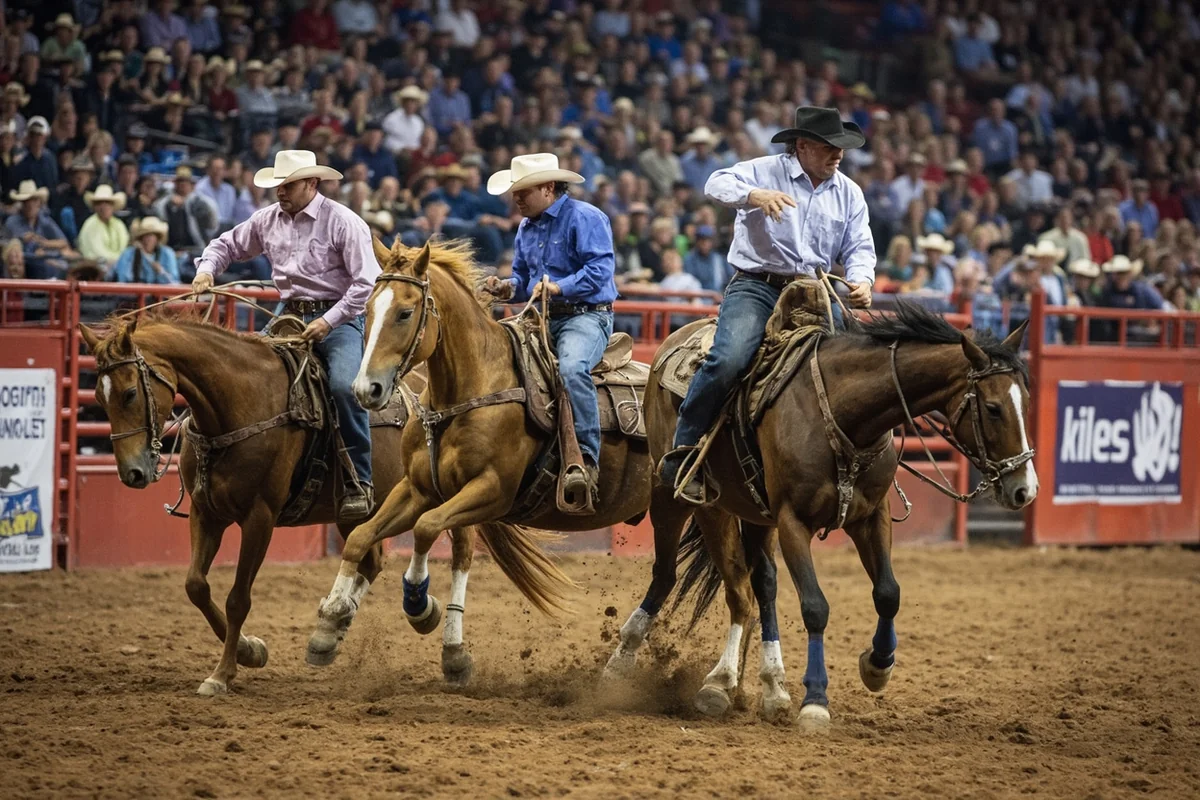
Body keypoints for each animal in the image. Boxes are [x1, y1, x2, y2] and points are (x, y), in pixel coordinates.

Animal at [78, 312, 487, 694]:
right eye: (98, 397)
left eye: (130, 393)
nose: (132, 473)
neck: (240, 404)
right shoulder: (205, 511)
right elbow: (196, 586)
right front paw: (249, 650)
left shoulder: (260, 517)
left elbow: (238, 599)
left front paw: (222, 674)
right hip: (352, 510)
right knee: (370, 557)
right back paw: (333, 628)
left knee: (460, 551)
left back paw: (446, 645)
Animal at [306, 239, 654, 671]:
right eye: (367, 309)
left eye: (405, 312)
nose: (365, 389)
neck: (471, 390)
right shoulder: (418, 488)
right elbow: (361, 537)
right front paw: (328, 624)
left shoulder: (492, 491)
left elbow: (427, 529)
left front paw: (421, 604)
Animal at [603, 299, 1038, 724]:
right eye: (994, 408)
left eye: (1028, 402)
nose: (1026, 490)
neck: (843, 412)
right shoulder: (793, 522)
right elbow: (815, 607)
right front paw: (814, 700)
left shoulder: (871, 516)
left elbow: (888, 594)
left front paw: (877, 666)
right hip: (688, 499)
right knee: (704, 581)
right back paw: (689, 676)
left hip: (755, 515)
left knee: (761, 585)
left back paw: (770, 688)